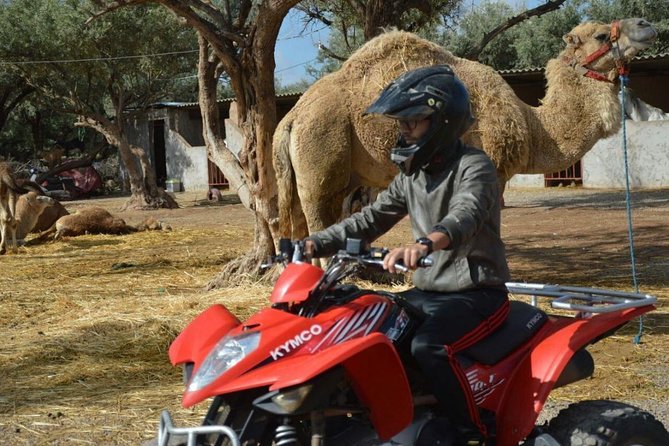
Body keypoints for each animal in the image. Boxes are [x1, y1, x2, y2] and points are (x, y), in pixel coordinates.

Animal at [274, 17, 656, 239]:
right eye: (602, 35)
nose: (646, 24)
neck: (533, 125)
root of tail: (290, 119)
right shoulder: (493, 169)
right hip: (320, 158)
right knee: (316, 220)